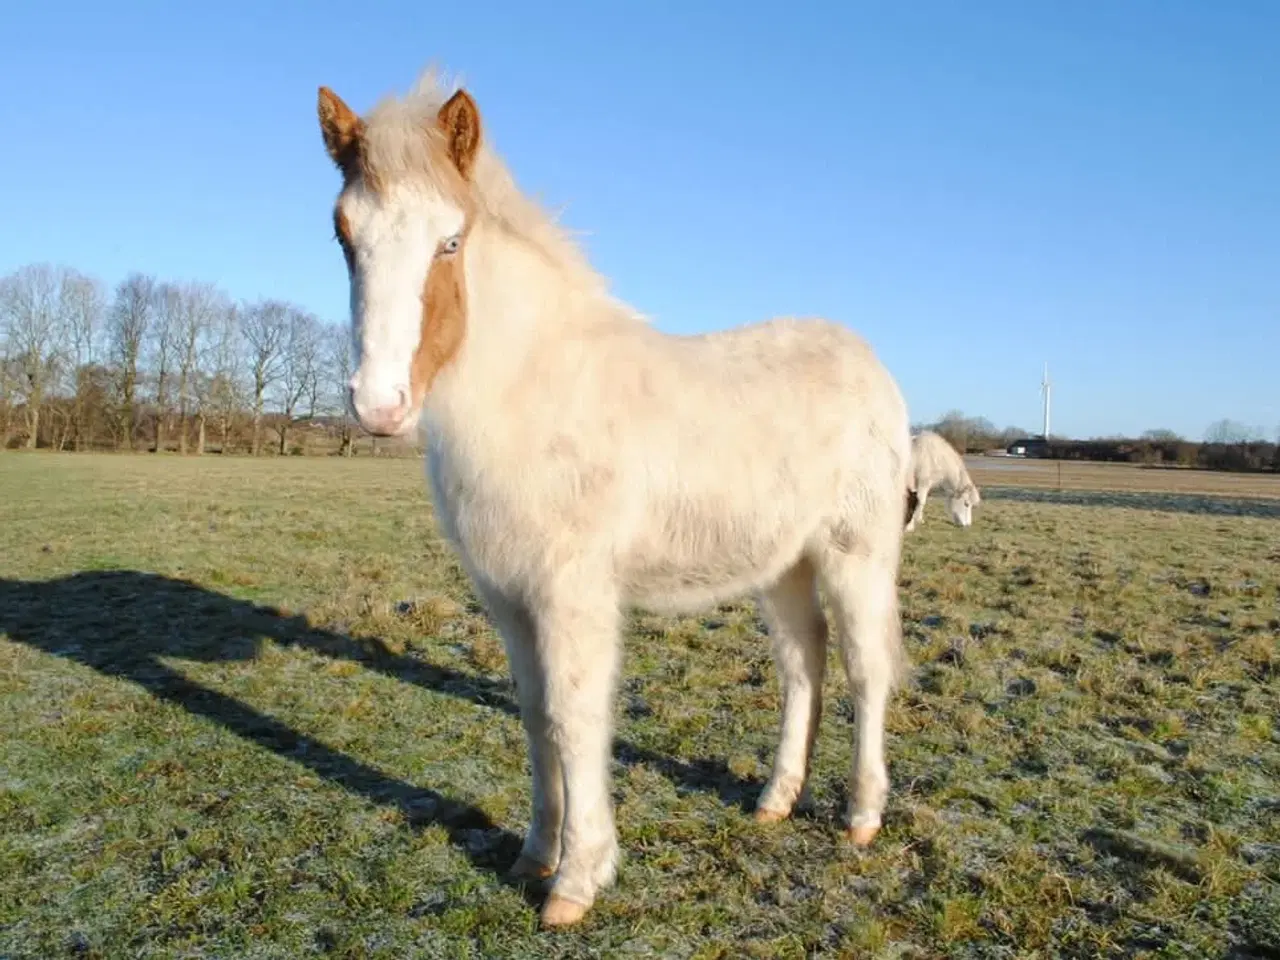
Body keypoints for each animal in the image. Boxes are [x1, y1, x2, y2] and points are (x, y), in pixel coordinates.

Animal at [314, 69, 916, 931]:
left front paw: (576, 881)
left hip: (853, 556)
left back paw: (861, 818)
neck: (533, 391)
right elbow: (535, 717)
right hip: (784, 566)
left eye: (450, 241)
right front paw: (534, 855)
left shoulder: (573, 594)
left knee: (866, 672)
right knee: (806, 663)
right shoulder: (508, 597)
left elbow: (576, 716)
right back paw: (774, 801)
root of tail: (871, 364)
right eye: (343, 235)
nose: (379, 404)